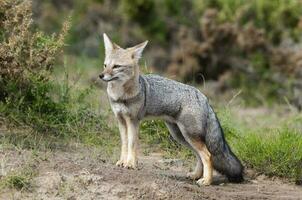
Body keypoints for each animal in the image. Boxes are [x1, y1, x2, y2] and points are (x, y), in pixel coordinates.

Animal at [99, 33, 243, 186]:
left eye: (116, 66)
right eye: (105, 65)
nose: (101, 75)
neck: (120, 96)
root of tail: (202, 96)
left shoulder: (133, 121)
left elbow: (132, 144)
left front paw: (130, 164)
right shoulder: (121, 120)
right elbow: (124, 144)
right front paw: (122, 161)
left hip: (188, 135)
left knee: (208, 155)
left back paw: (206, 181)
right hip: (181, 136)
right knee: (199, 156)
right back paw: (196, 175)